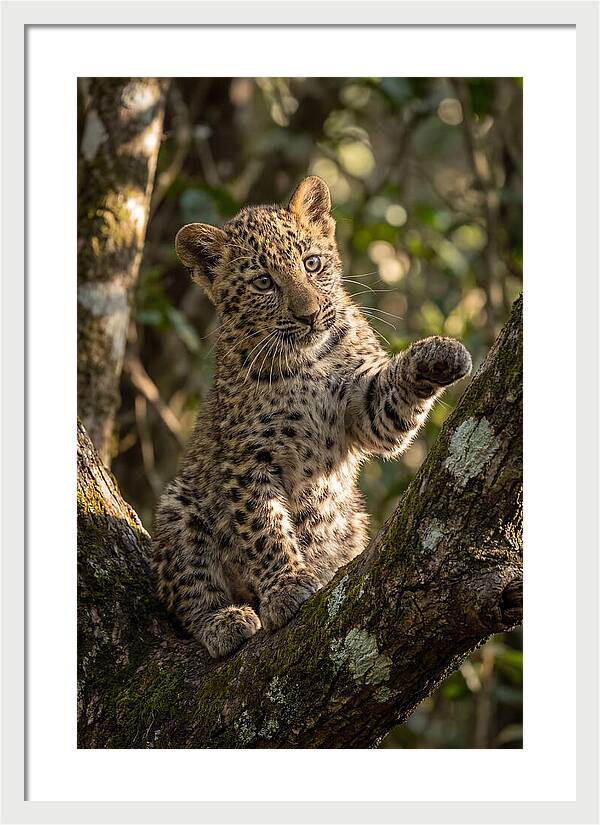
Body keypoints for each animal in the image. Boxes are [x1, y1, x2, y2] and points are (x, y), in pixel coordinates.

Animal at [152, 175, 472, 658]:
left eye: (312, 263)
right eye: (263, 282)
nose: (309, 315)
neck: (307, 362)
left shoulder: (364, 409)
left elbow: (390, 402)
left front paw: (439, 353)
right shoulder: (247, 460)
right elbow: (263, 528)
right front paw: (286, 588)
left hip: (352, 521)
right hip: (180, 506)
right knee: (188, 593)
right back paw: (224, 621)